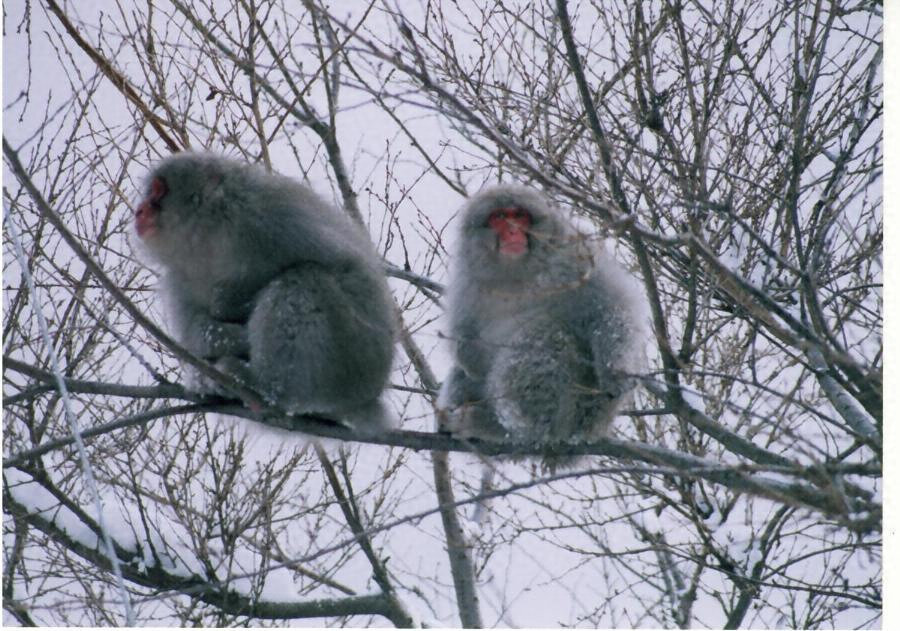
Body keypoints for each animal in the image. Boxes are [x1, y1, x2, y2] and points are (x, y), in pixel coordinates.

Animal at [135, 153, 396, 430]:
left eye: (158, 192)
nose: (139, 211)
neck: (209, 234)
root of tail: (368, 398)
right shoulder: (178, 274)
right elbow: (193, 333)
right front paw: (226, 338)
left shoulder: (269, 215)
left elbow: (349, 269)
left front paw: (231, 301)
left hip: (352, 359)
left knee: (304, 279)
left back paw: (267, 388)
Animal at [438, 184, 644, 470]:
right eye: (499, 217)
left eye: (520, 215)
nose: (513, 230)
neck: (516, 273)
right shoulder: (467, 280)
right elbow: (467, 345)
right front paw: (469, 359)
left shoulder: (575, 257)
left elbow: (611, 310)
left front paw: (615, 373)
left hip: (578, 413)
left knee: (543, 334)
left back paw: (508, 428)